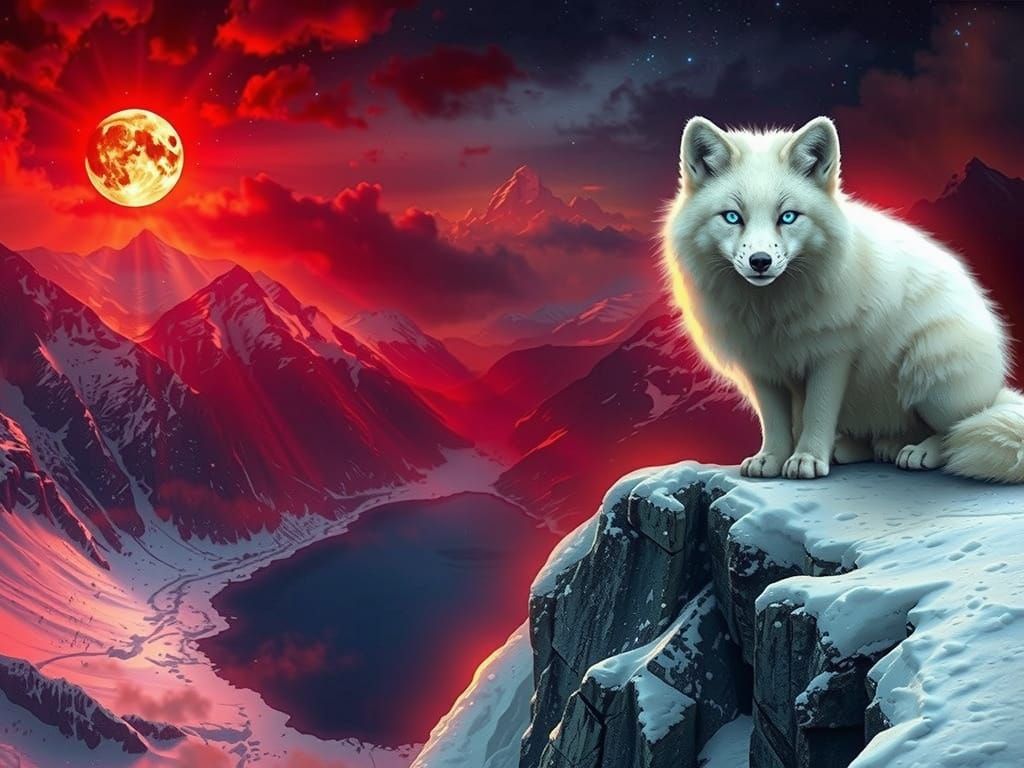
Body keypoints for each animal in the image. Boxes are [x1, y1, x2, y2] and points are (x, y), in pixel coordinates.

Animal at [661, 115, 1024, 482]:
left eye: (788, 216)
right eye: (732, 217)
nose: (760, 261)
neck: (771, 312)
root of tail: (995, 389)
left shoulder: (833, 353)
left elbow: (818, 411)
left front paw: (806, 459)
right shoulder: (762, 368)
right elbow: (774, 423)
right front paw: (772, 459)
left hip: (929, 373)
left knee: (957, 427)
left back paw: (919, 451)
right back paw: (861, 448)